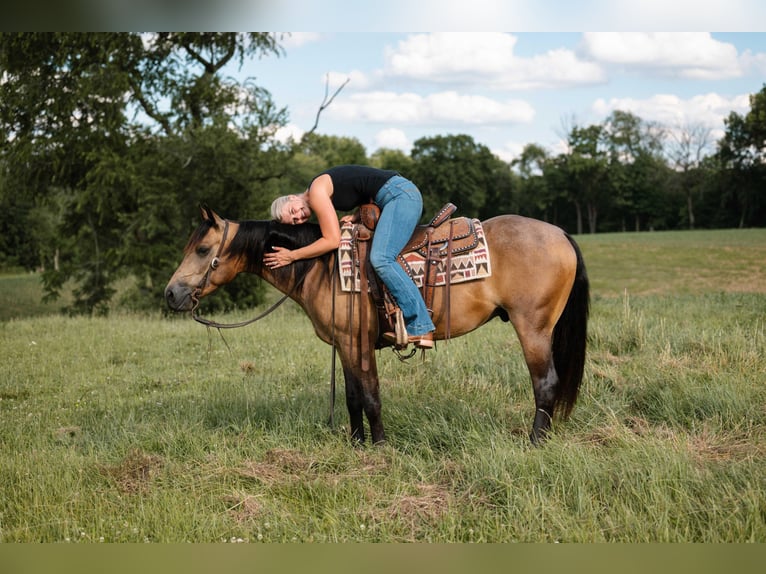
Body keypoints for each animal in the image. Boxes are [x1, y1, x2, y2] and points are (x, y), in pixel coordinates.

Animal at [165, 206, 589, 445]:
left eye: (203, 249)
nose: (171, 294)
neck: (322, 265)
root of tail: (560, 232)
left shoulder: (357, 342)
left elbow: (370, 395)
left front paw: (381, 446)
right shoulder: (345, 344)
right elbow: (353, 396)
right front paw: (356, 444)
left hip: (533, 327)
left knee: (545, 383)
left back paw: (535, 442)